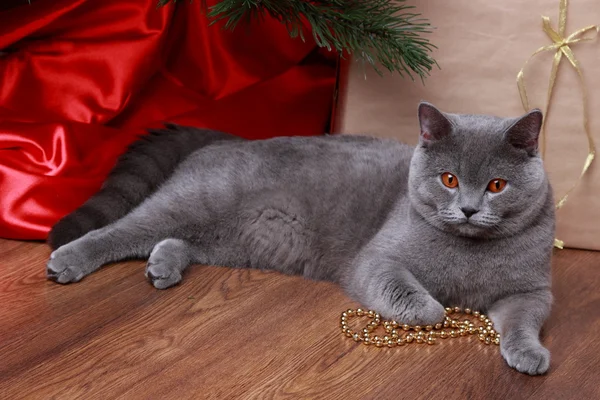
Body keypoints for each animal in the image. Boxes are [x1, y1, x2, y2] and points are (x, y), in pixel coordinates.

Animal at [45, 102, 552, 376]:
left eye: (497, 185)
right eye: (449, 179)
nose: (468, 208)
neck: (470, 254)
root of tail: (231, 139)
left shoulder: (533, 290)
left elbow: (525, 320)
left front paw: (529, 354)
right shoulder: (379, 259)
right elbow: (412, 296)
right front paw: (437, 310)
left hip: (241, 239)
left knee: (178, 240)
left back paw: (163, 266)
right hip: (195, 203)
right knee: (121, 229)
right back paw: (68, 260)